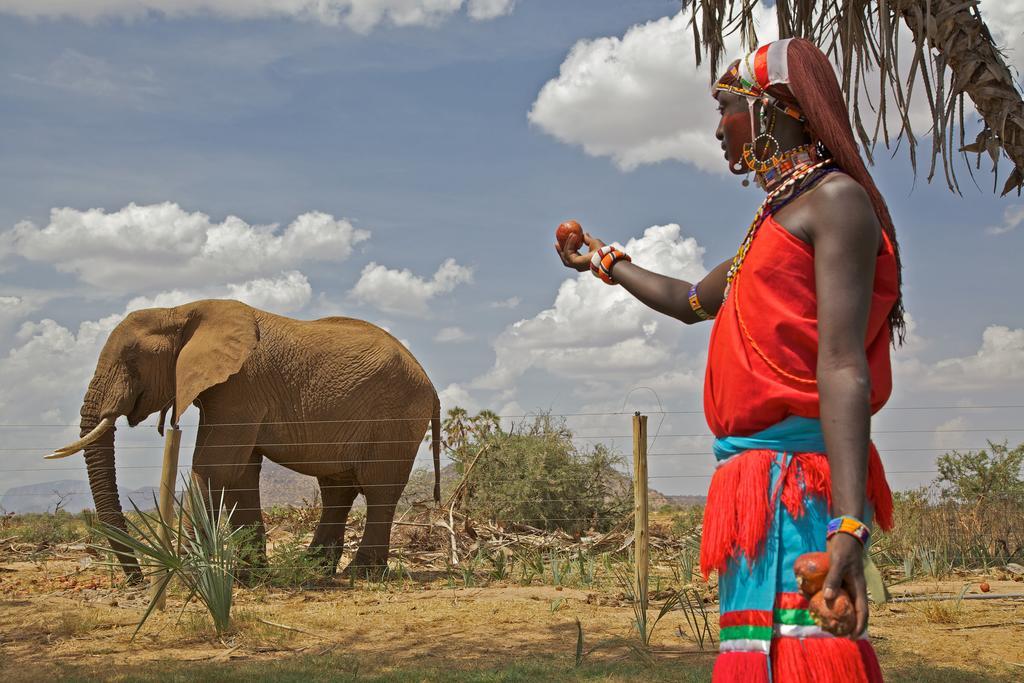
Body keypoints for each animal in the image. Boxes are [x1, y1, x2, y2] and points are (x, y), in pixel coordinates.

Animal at [45, 299, 440, 581]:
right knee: (337, 489)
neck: (181, 311)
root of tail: (431, 385)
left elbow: (215, 467)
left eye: (131, 359)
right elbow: (241, 474)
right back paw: (313, 569)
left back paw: (360, 574)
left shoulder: (239, 387)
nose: (137, 581)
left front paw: (184, 574)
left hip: (396, 418)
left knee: (378, 489)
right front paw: (249, 577)